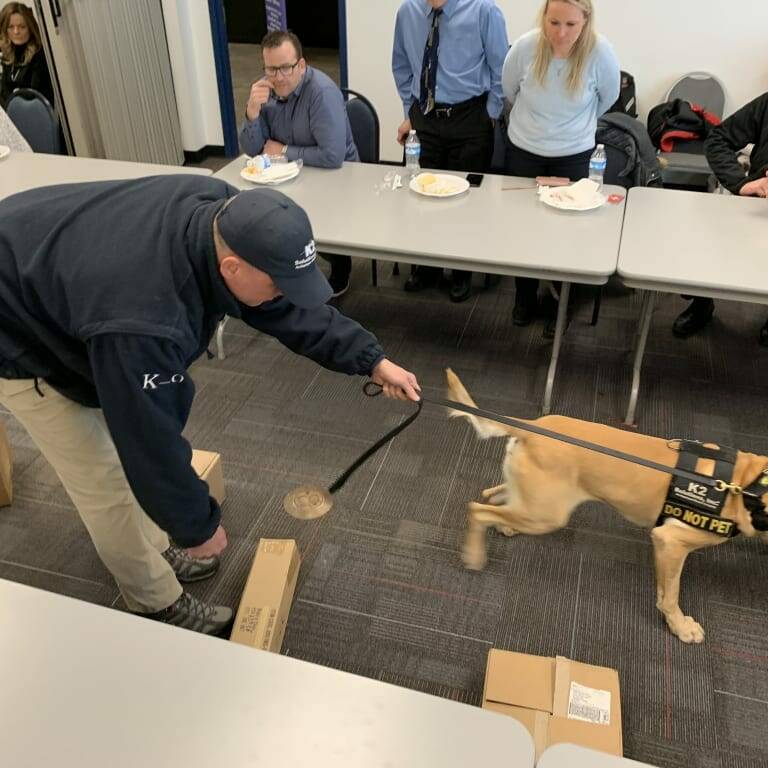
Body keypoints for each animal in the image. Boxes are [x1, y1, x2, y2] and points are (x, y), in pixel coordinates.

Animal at [444, 368, 768, 644]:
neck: (747, 484)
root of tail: (532, 427)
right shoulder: (671, 542)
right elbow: (670, 595)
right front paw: (680, 626)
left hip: (533, 499)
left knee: (492, 495)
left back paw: (503, 527)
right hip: (545, 515)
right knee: (477, 508)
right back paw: (474, 555)